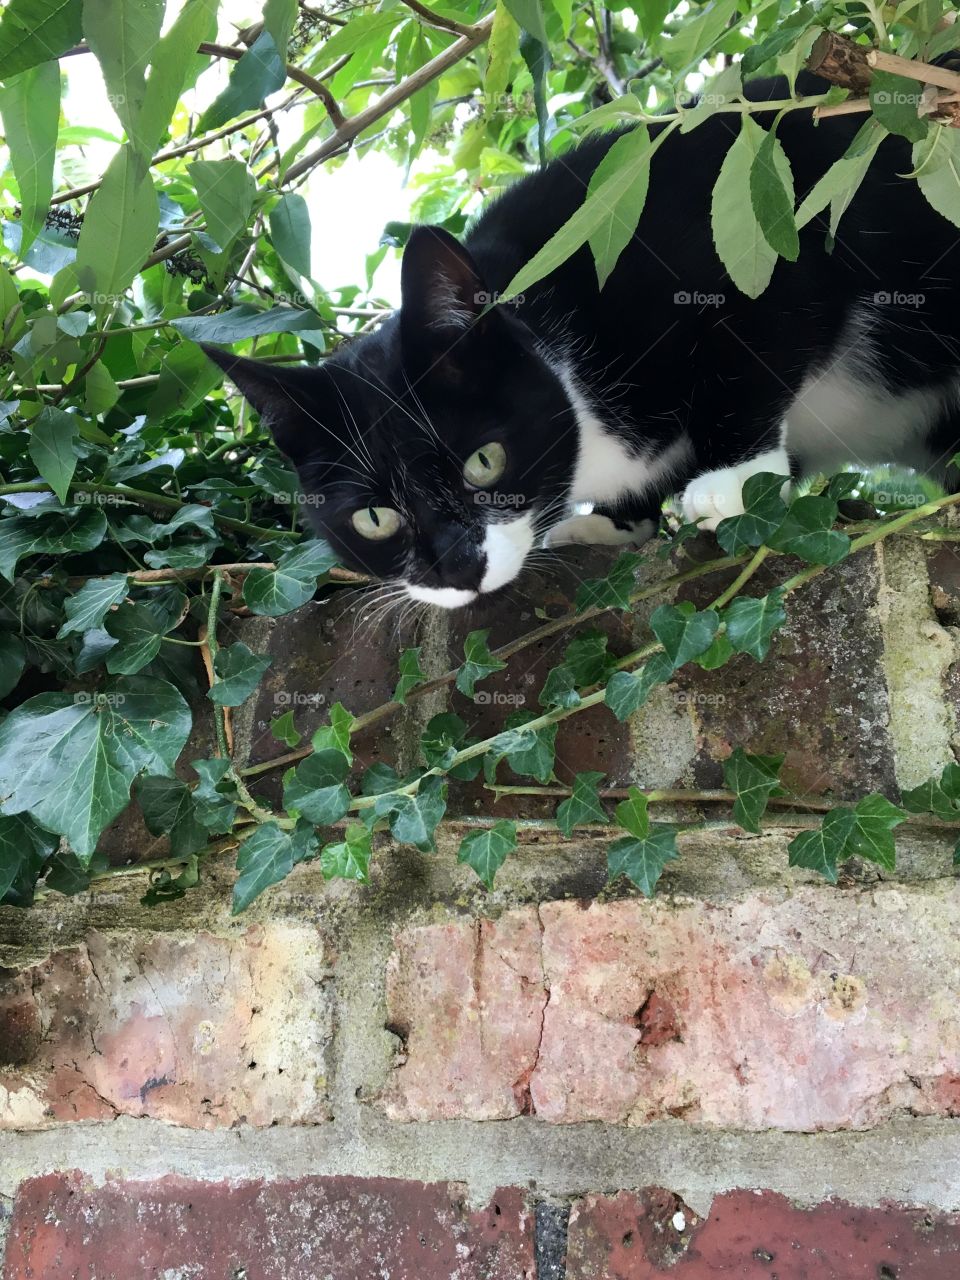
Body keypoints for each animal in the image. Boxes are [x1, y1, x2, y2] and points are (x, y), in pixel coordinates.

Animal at [200, 70, 960, 609]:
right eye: (375, 519)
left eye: (485, 462)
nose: (459, 568)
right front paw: (617, 522)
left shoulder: (755, 225)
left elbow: (757, 346)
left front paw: (732, 478)